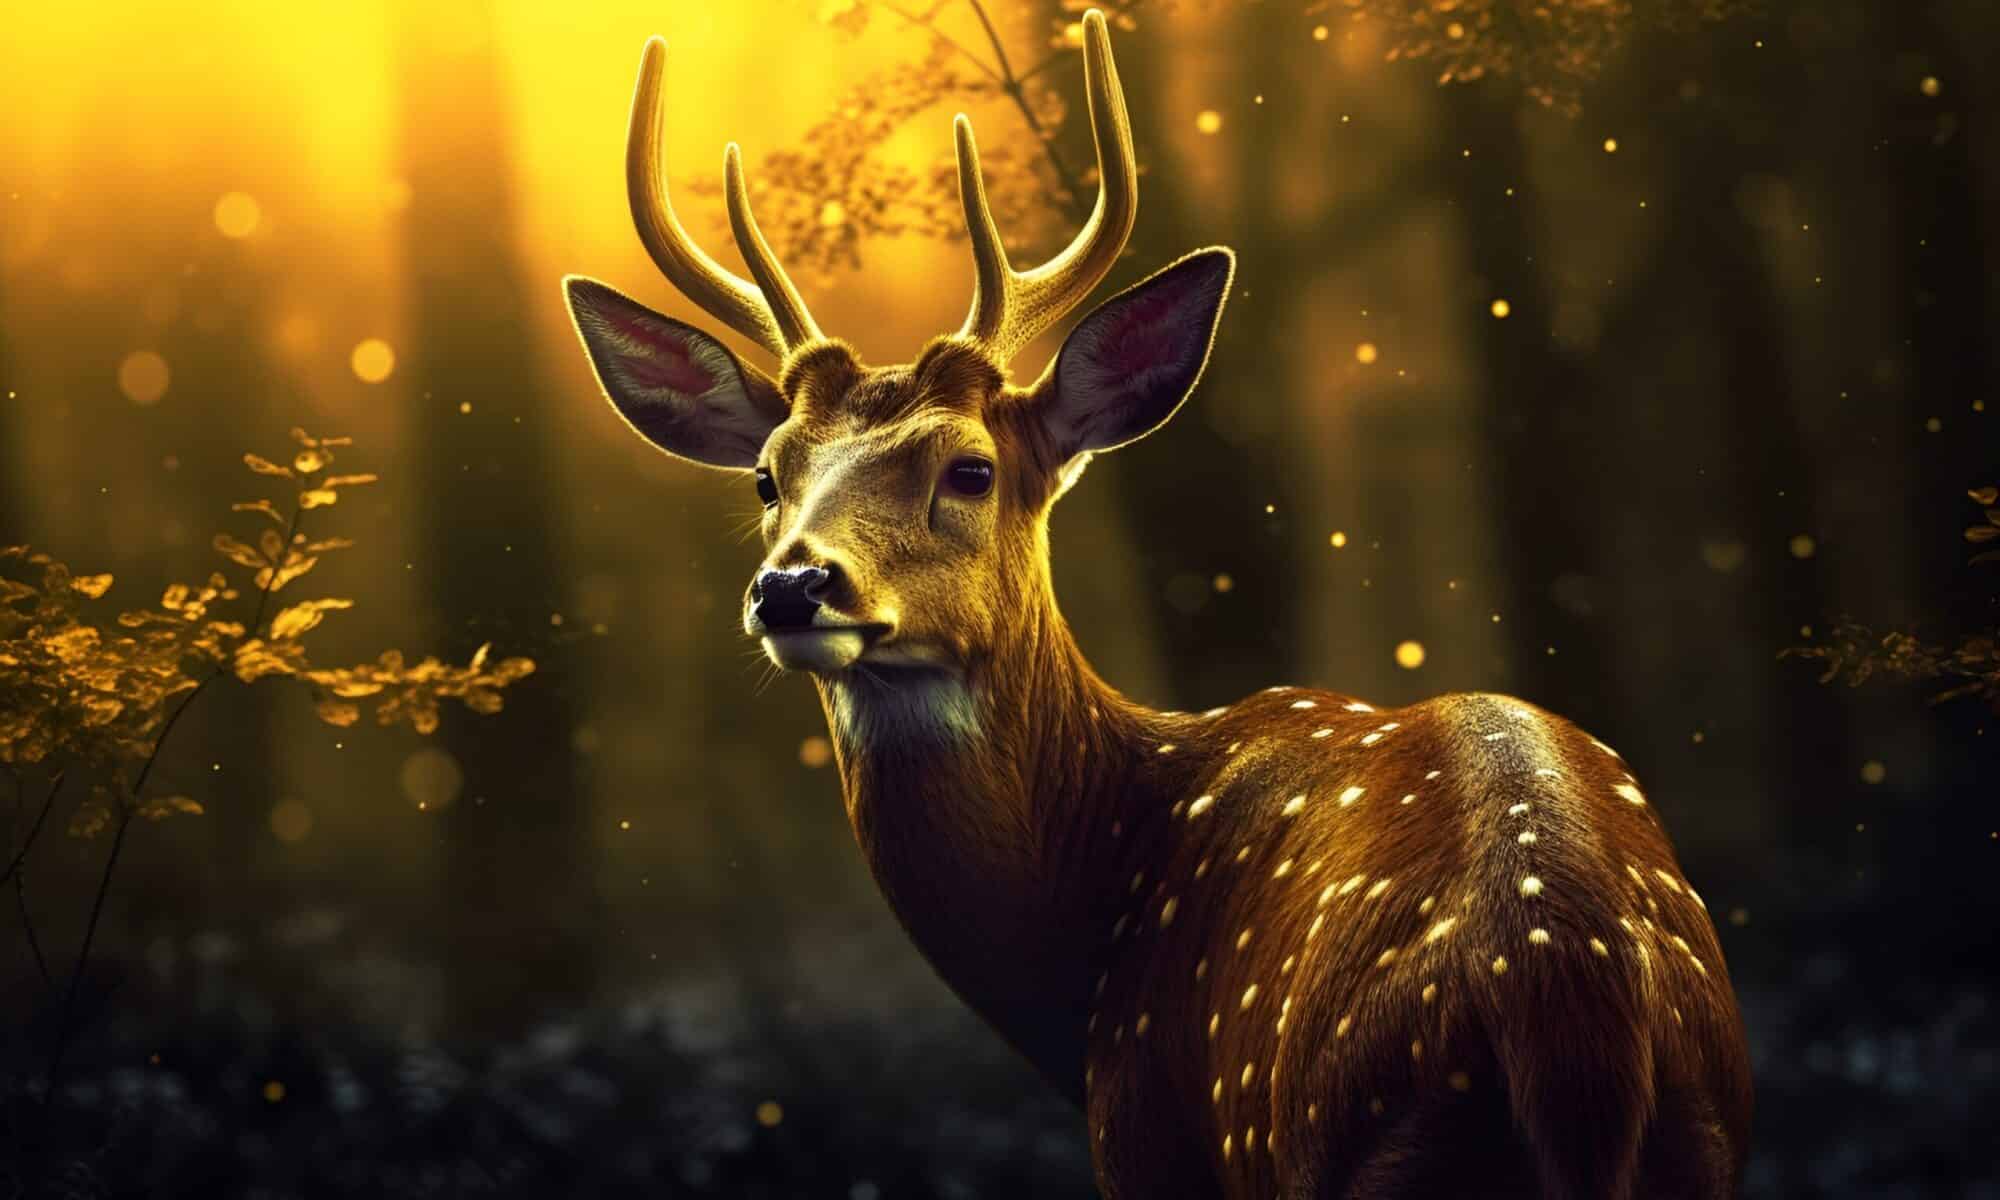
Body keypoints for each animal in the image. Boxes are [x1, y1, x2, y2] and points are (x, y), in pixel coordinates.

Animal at [561, 11, 1753, 1198]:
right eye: (768, 476)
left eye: (970, 469)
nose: (794, 585)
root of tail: (1566, 1003)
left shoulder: (1145, 1137)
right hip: (1691, 1142)